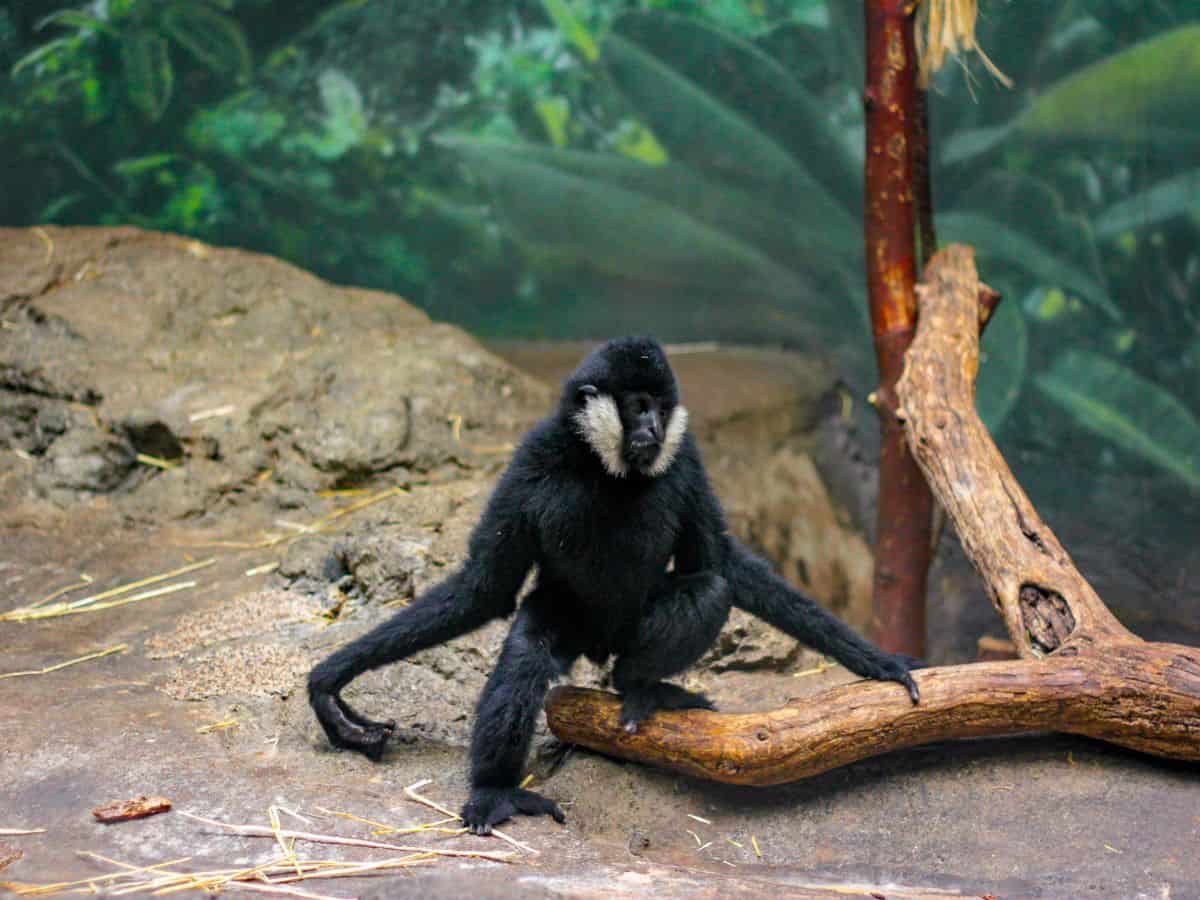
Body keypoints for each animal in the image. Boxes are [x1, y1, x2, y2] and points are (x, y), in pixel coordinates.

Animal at [308, 336, 920, 834]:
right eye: (637, 406)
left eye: (661, 408)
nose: (652, 427)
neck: (608, 469)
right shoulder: (531, 455)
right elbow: (486, 587)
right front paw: (330, 681)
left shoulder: (687, 454)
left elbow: (720, 562)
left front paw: (881, 663)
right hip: (570, 619)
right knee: (529, 649)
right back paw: (497, 792)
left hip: (629, 633)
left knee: (707, 590)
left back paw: (640, 687)